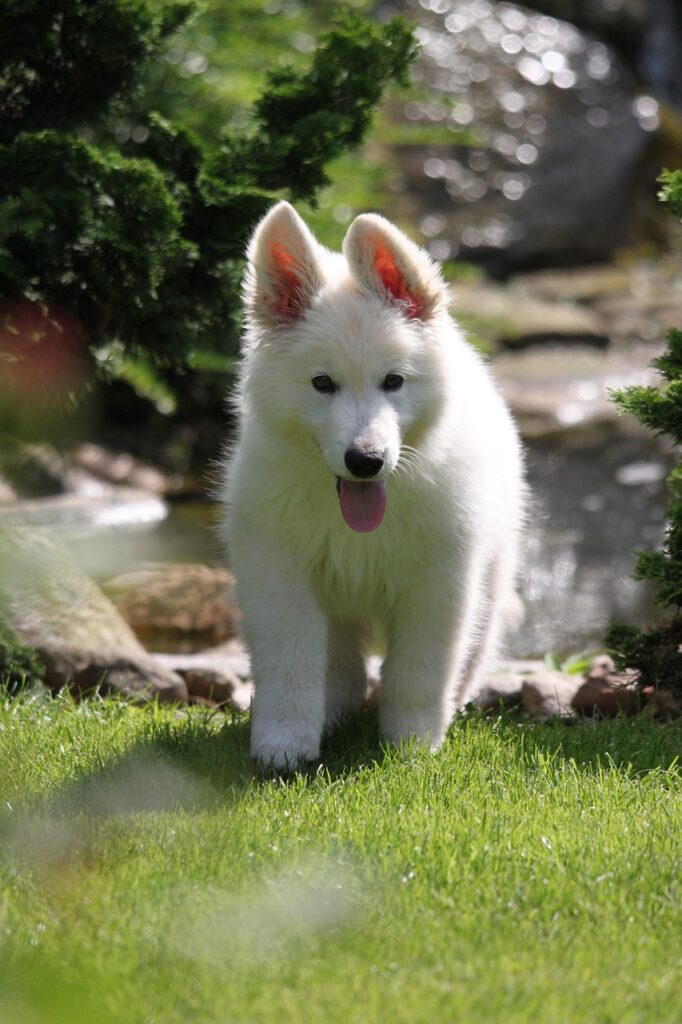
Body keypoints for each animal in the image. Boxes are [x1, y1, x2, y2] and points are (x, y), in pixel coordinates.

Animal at [220, 201, 522, 770]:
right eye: (322, 384)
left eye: (394, 381)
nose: (365, 461)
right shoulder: (279, 575)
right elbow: (290, 664)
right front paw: (284, 745)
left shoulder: (439, 582)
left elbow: (419, 671)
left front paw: (412, 746)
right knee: (341, 665)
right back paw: (334, 714)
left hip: (491, 575)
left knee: (471, 651)